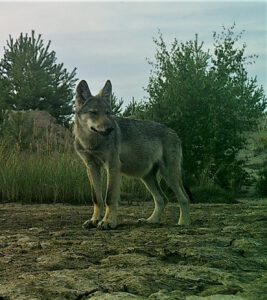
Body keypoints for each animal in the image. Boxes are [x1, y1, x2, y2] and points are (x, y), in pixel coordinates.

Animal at [73, 79, 191, 230]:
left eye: (108, 113)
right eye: (93, 112)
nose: (110, 129)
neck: (91, 143)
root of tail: (174, 133)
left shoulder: (112, 167)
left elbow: (109, 198)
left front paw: (108, 222)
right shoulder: (92, 167)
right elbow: (97, 198)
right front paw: (94, 220)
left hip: (169, 175)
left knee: (184, 199)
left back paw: (183, 223)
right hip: (147, 177)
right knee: (162, 199)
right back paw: (151, 221)